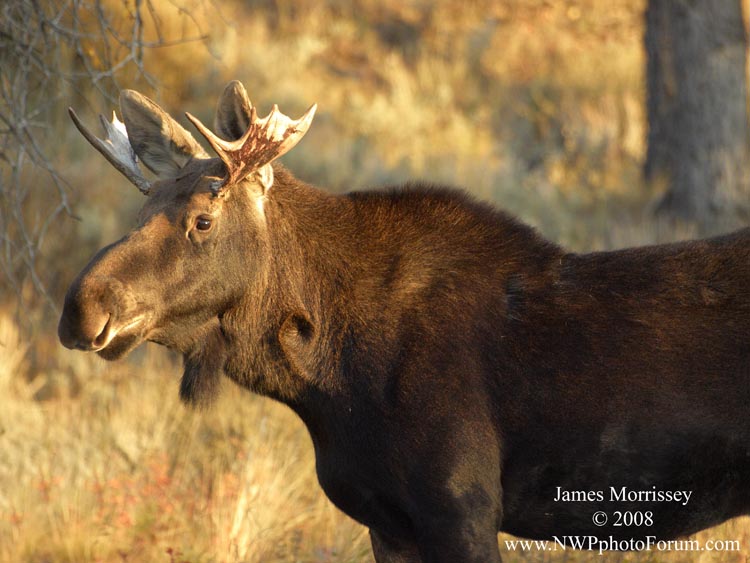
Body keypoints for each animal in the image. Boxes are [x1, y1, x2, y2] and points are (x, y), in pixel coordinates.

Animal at [59, 81, 750, 562]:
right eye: (142, 206)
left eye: (203, 220)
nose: (80, 308)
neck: (327, 381)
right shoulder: (386, 521)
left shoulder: (462, 509)